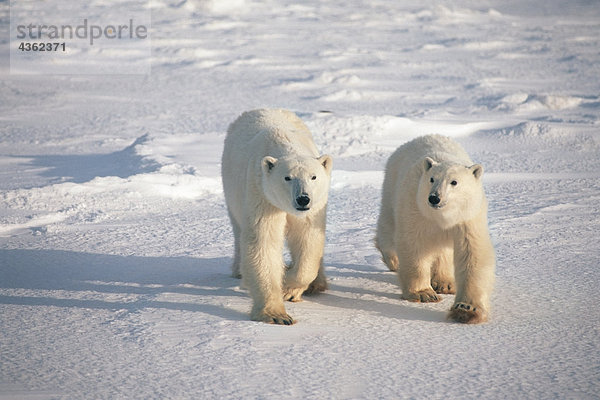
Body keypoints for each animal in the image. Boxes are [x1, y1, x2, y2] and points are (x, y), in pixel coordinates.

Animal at [221, 109, 332, 324]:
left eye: (313, 177)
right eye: (287, 177)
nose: (303, 199)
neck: (285, 143)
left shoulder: (313, 210)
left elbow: (308, 239)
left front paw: (289, 288)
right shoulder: (262, 193)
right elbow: (264, 242)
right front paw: (277, 315)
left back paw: (318, 284)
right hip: (231, 190)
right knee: (239, 229)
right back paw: (240, 272)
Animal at [376, 136, 496, 324]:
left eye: (454, 182)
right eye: (432, 179)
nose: (434, 198)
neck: (443, 217)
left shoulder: (468, 217)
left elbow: (472, 252)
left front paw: (466, 309)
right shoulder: (416, 208)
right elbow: (414, 245)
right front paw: (424, 294)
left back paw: (445, 283)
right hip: (391, 188)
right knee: (388, 229)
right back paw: (393, 260)